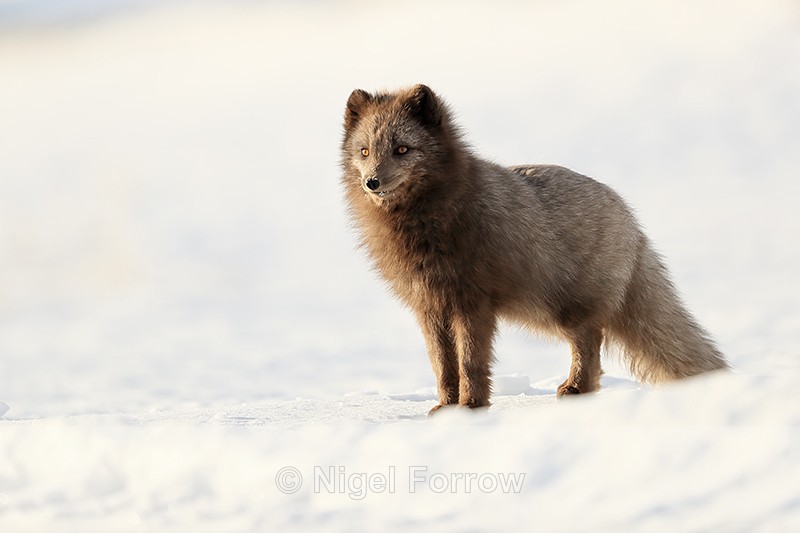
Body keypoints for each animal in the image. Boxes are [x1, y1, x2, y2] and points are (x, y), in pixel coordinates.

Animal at [340, 84, 728, 413]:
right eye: (365, 151)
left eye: (402, 149)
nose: (372, 182)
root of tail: (630, 217)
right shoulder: (429, 306)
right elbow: (443, 365)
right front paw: (446, 409)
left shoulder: (472, 303)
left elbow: (470, 362)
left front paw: (471, 408)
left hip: (559, 307)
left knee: (591, 339)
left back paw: (577, 389)